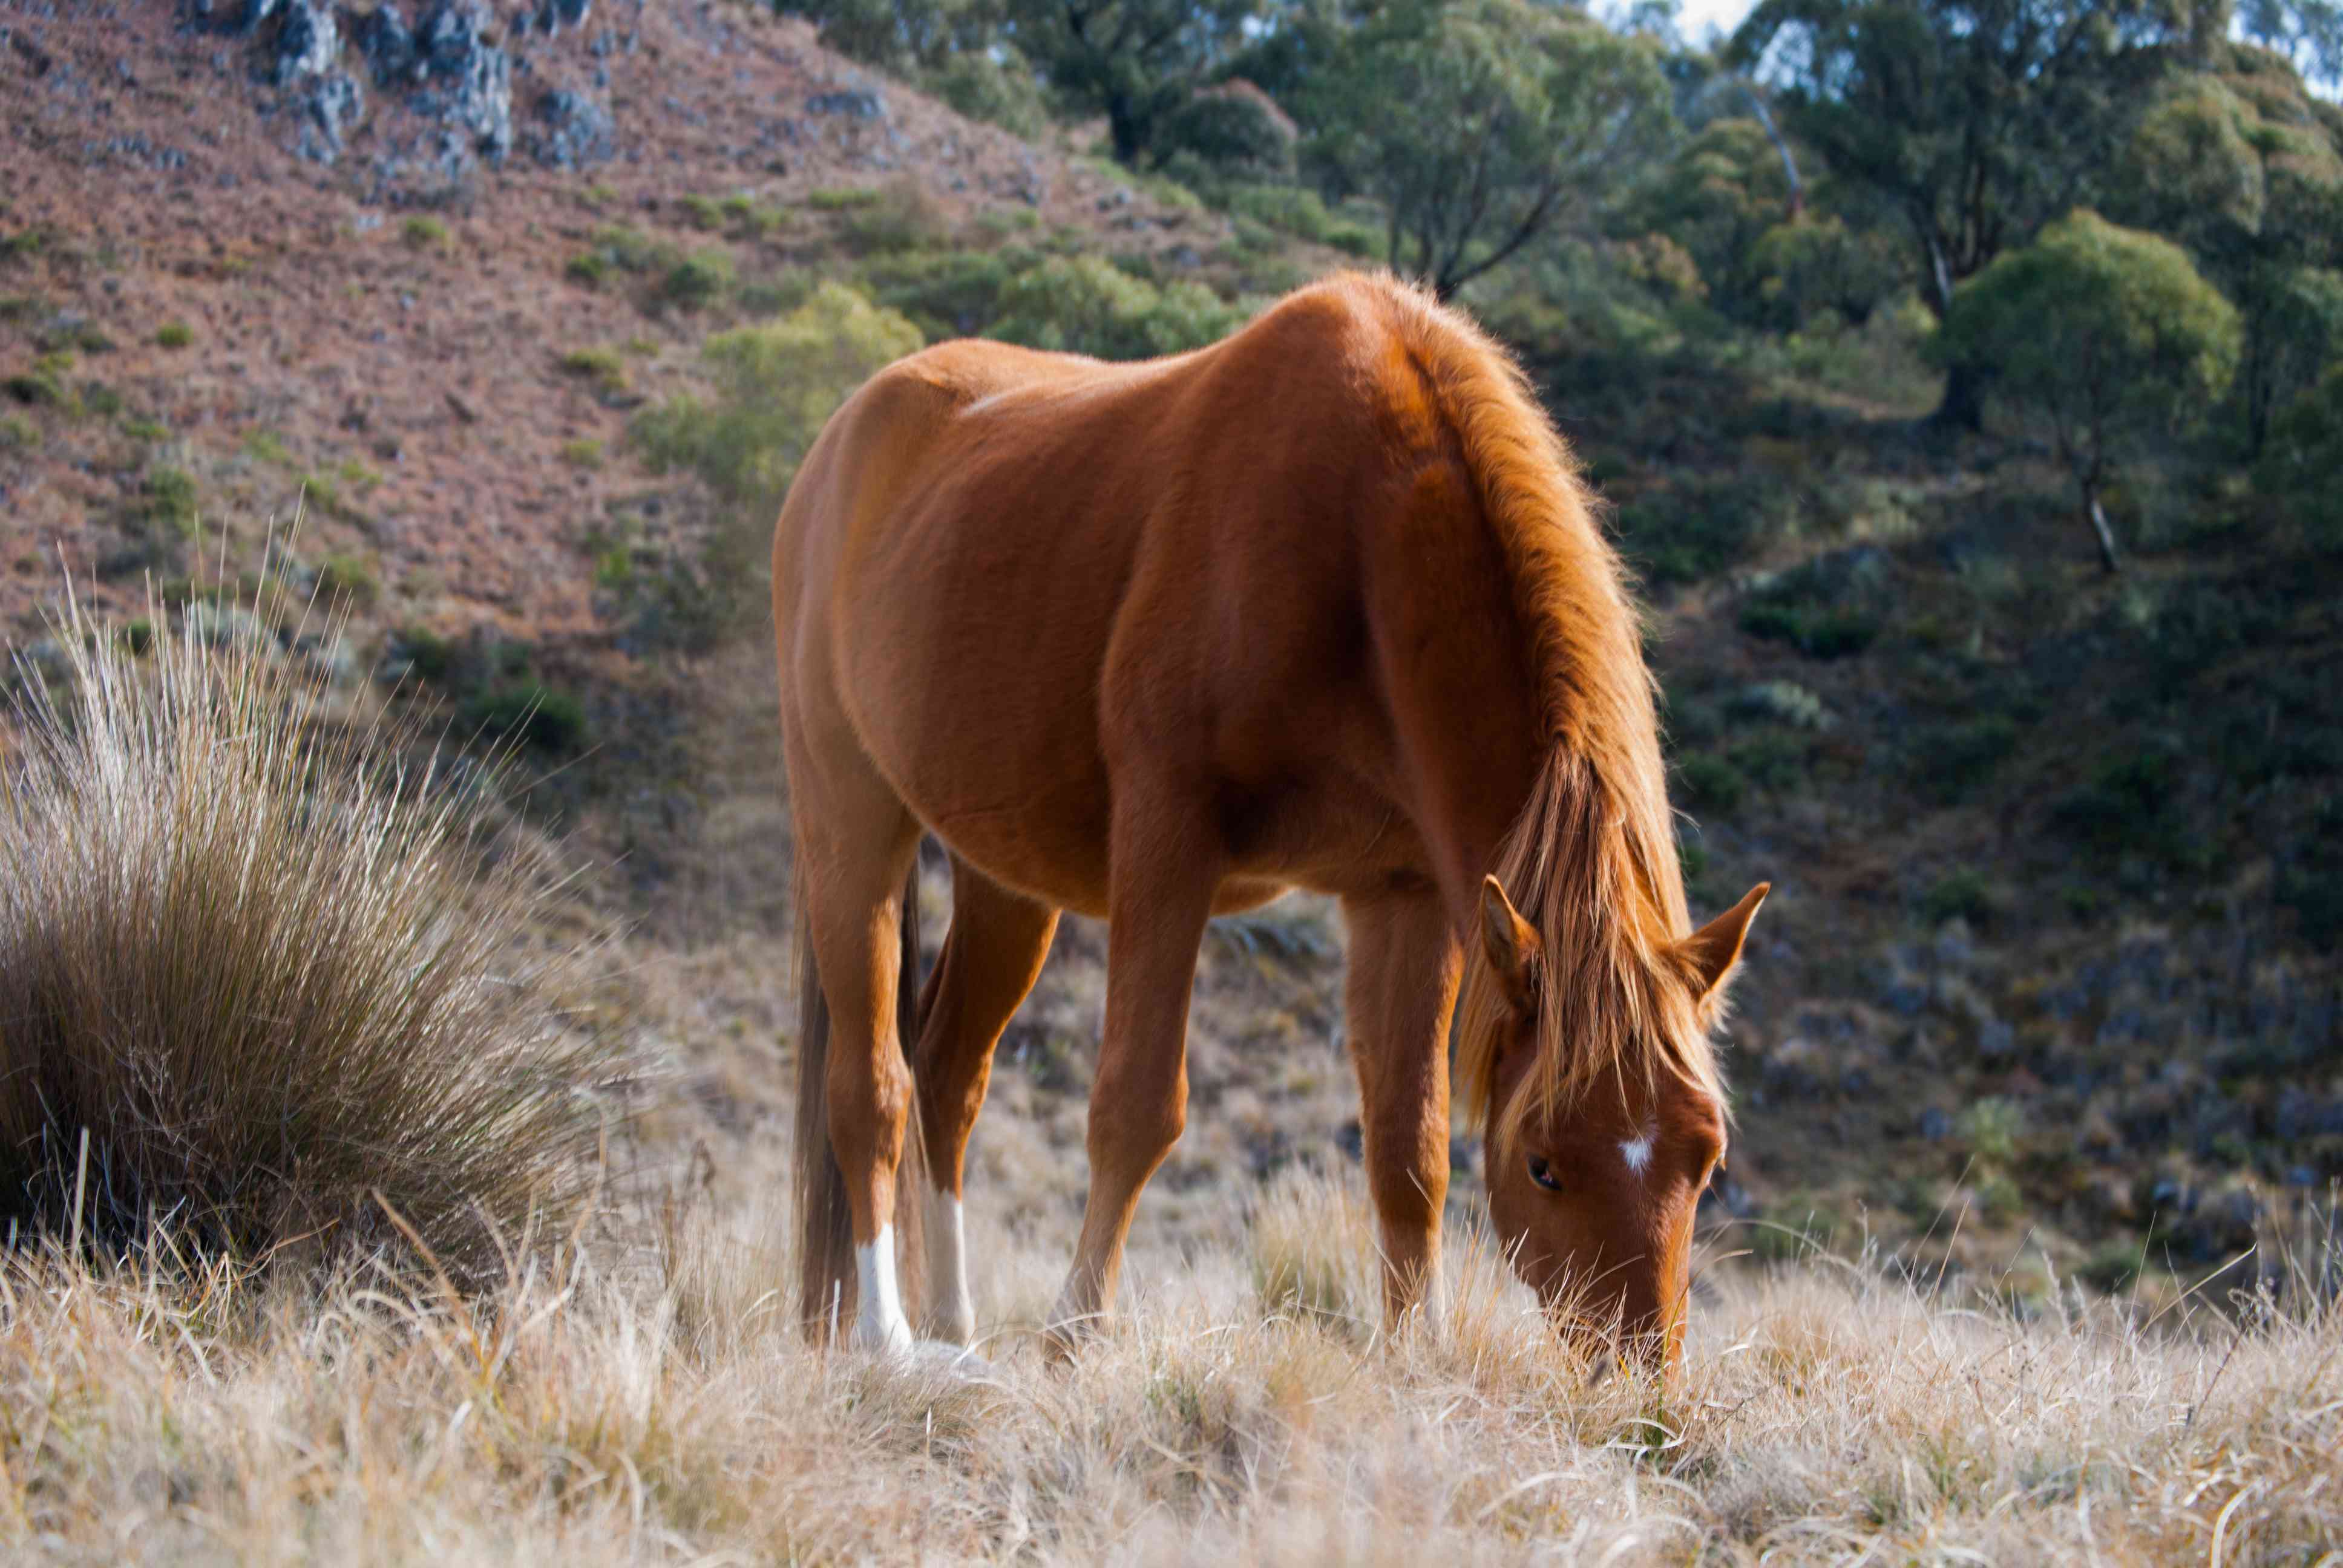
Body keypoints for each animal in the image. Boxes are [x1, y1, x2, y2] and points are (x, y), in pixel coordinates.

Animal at [778, 269, 1761, 1368]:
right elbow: (1135, 1106)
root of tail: (838, 447)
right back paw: (890, 1340)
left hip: (1005, 878)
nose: (1639, 1381)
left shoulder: (1405, 895)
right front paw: (1076, 1337)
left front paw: (1413, 1357)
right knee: (870, 1087)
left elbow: (1409, 1144)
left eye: (1705, 1156)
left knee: (948, 1075)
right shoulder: (1170, 839)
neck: (1357, 540)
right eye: (1544, 1162)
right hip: (850, 822)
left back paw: (955, 1327)